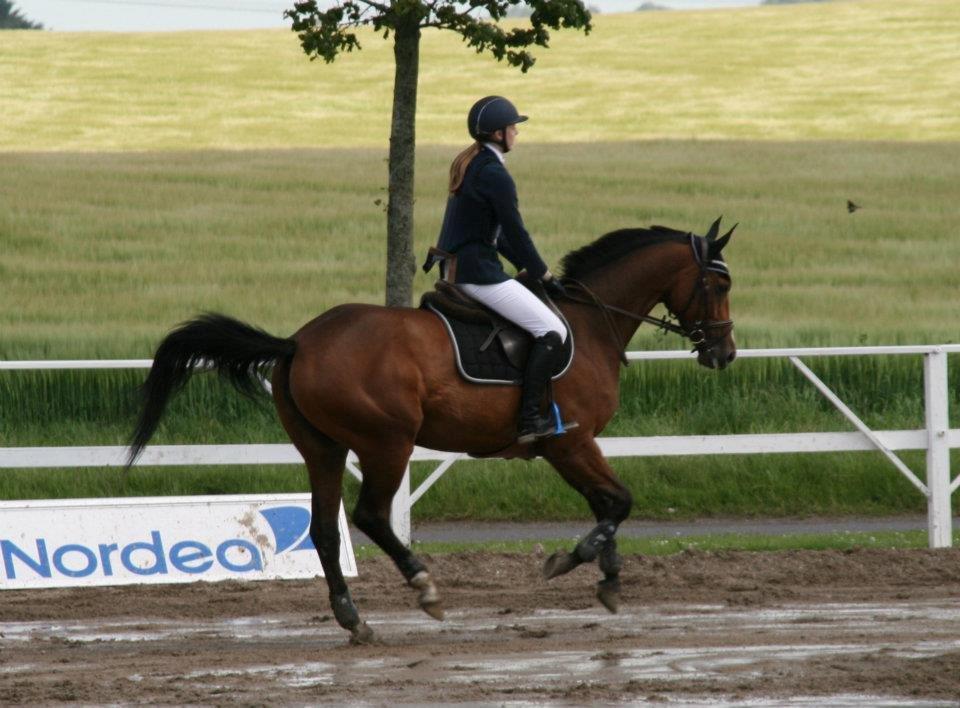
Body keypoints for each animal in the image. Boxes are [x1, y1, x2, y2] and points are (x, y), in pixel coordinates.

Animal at [127, 216, 740, 640]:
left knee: (325, 529)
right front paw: (572, 560)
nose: (725, 353)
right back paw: (424, 587)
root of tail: (299, 341)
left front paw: (608, 579)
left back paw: (354, 619)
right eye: (717, 286)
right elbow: (618, 502)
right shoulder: (569, 440)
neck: (590, 322)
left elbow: (608, 502)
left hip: (322, 448)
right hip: (386, 442)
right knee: (371, 516)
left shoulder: (570, 446)